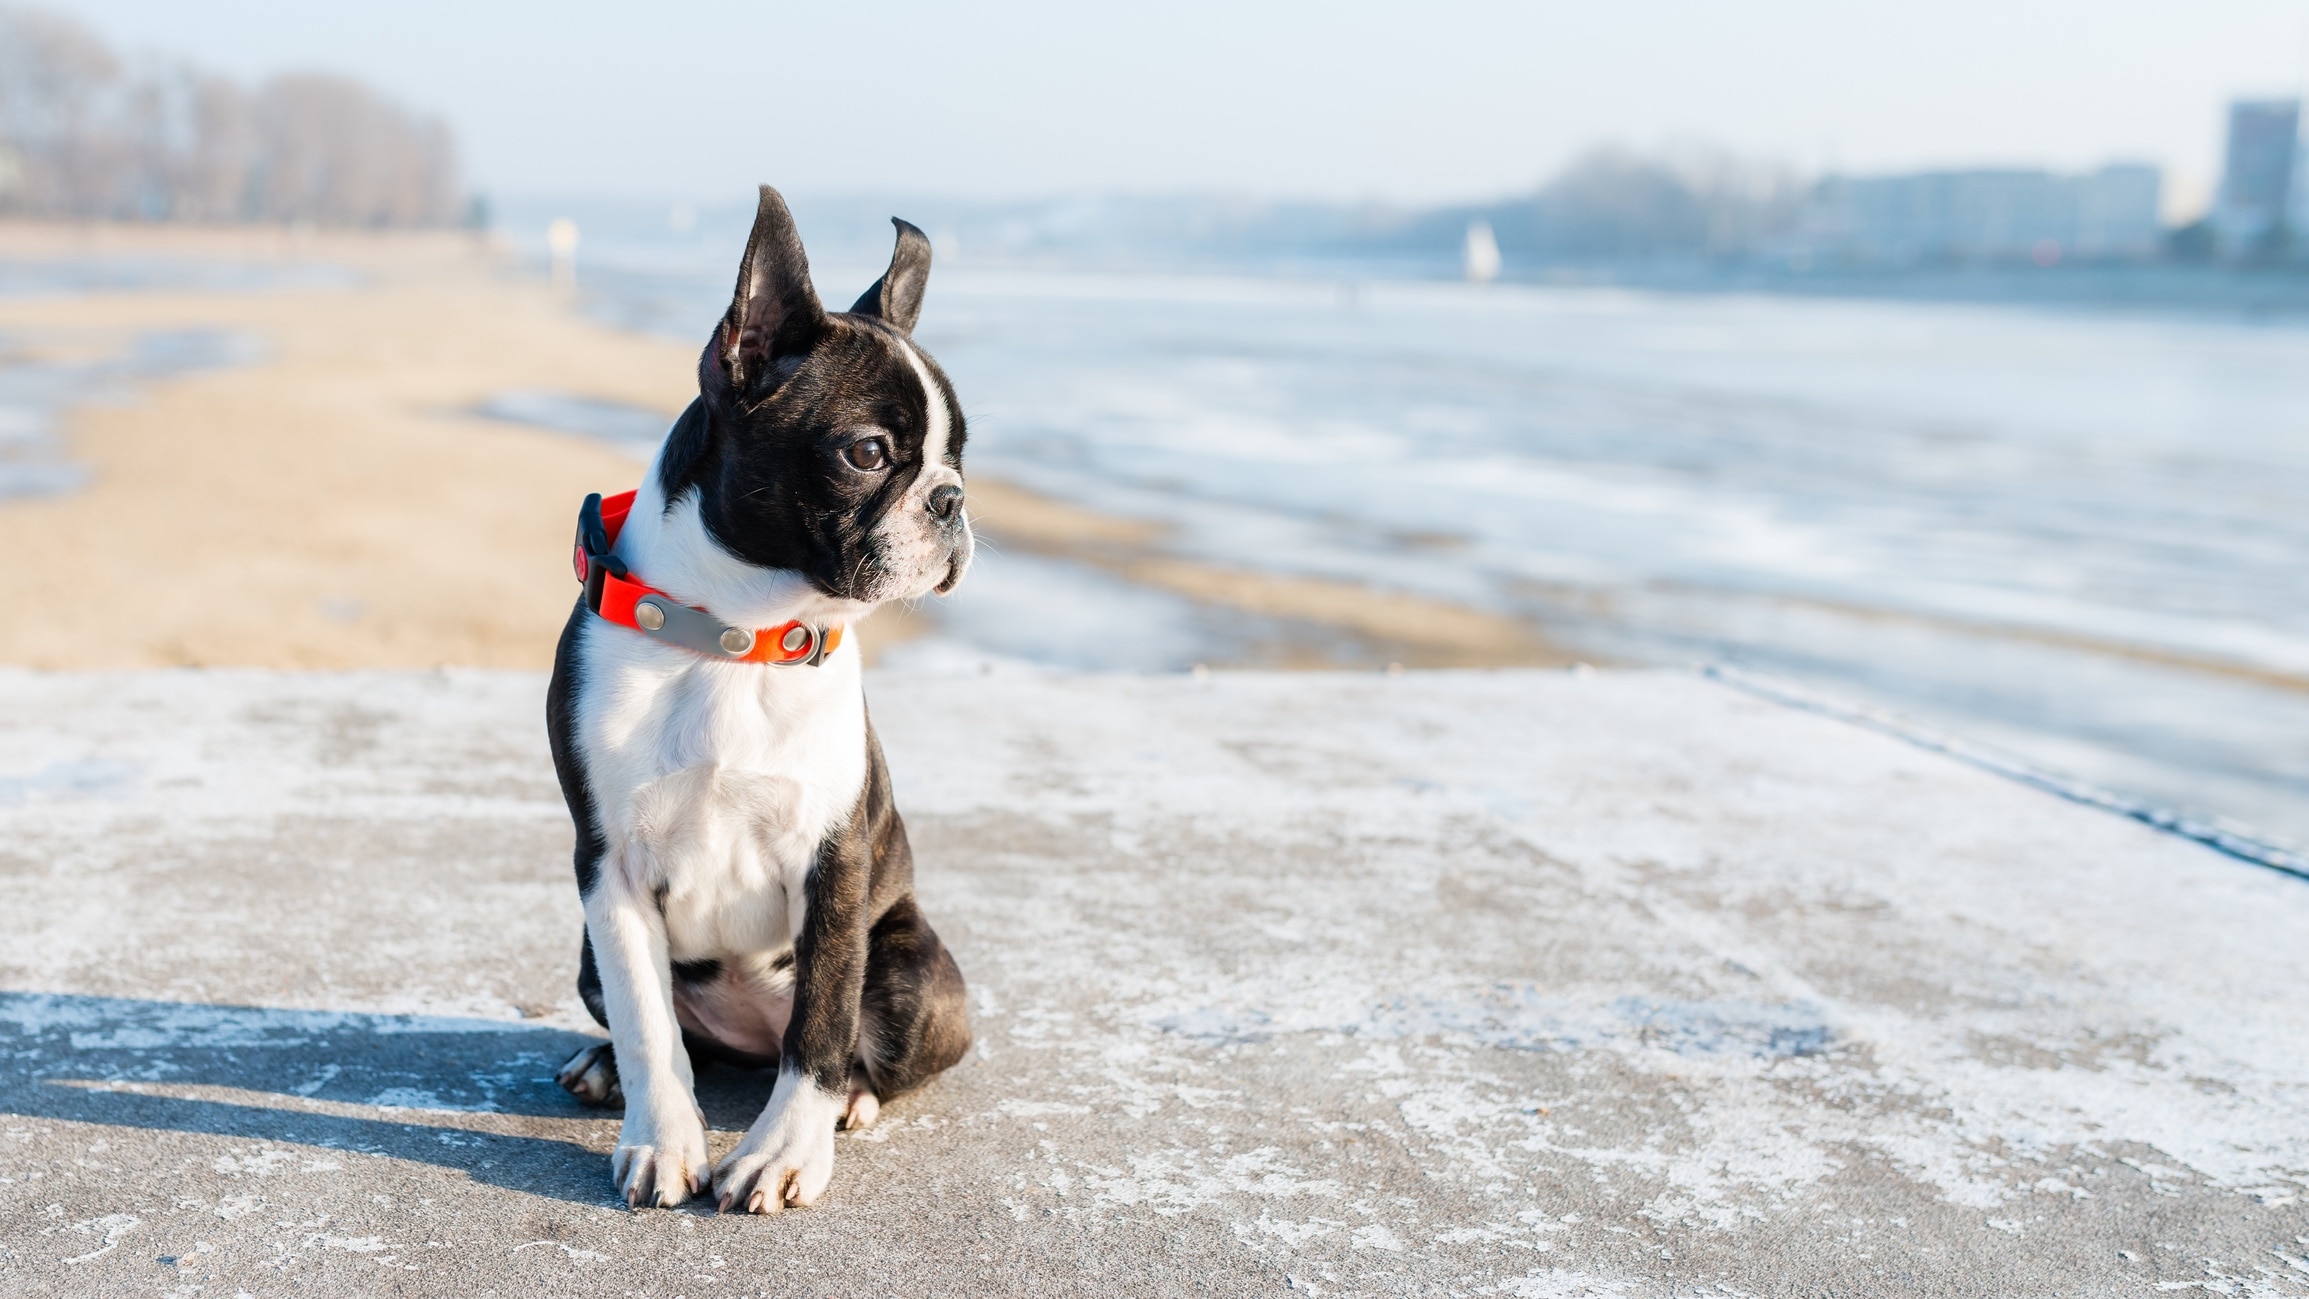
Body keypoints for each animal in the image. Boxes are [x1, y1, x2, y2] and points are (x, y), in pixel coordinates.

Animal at [549, 188, 974, 1218]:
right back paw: (602, 1068)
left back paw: (850, 1101)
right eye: (869, 453)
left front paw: (784, 1151)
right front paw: (661, 1138)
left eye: (960, 456)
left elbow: (819, 1024)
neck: (741, 638)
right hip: (583, 948)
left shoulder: (834, 857)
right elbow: (649, 1023)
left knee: (848, 1041)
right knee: (680, 1036)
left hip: (918, 970)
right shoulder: (607, 869)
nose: (951, 499)